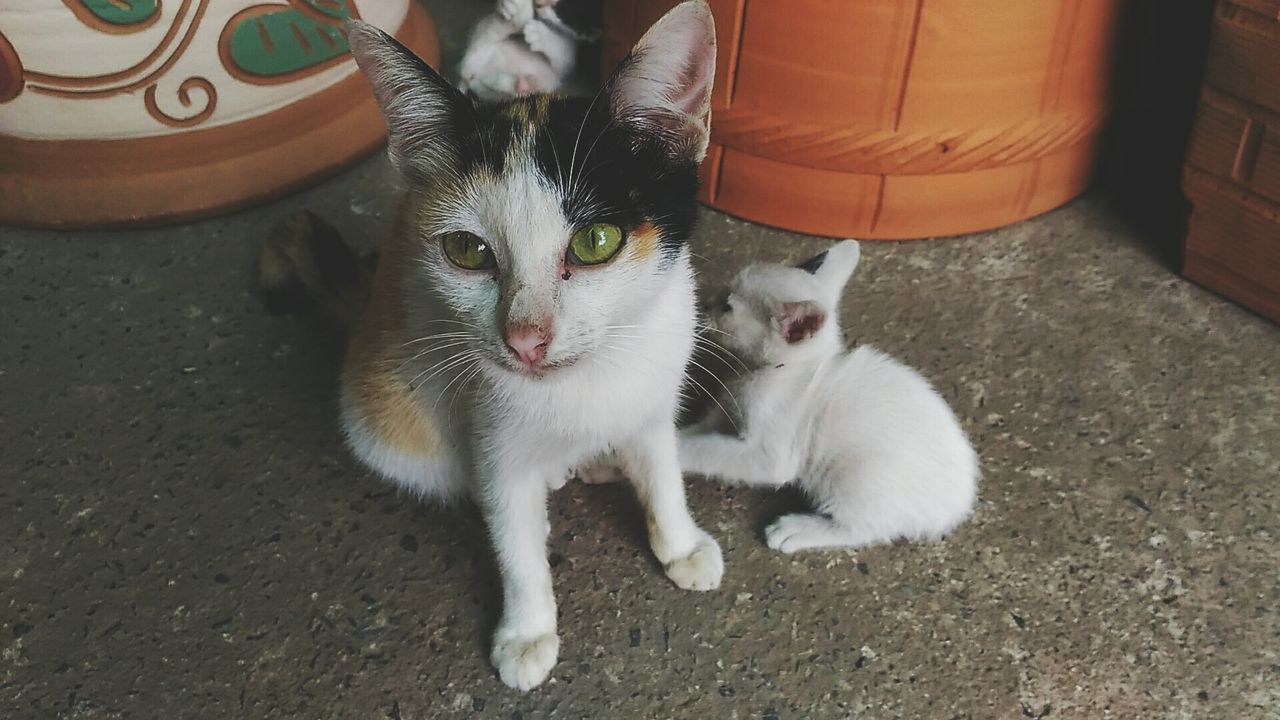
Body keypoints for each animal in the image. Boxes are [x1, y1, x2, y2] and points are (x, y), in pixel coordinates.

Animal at [264, 0, 721, 691]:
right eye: (467, 250)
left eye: (597, 241)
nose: (525, 339)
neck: (584, 384)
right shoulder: (485, 429)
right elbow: (512, 531)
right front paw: (527, 632)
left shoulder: (656, 383)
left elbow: (662, 466)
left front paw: (680, 541)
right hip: (384, 416)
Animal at [675, 239, 972, 548]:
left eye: (726, 306)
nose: (702, 304)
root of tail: (958, 506)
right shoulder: (725, 416)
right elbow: (699, 434)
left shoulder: (770, 455)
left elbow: (707, 451)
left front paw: (676, 452)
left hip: (855, 480)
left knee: (862, 529)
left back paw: (795, 530)